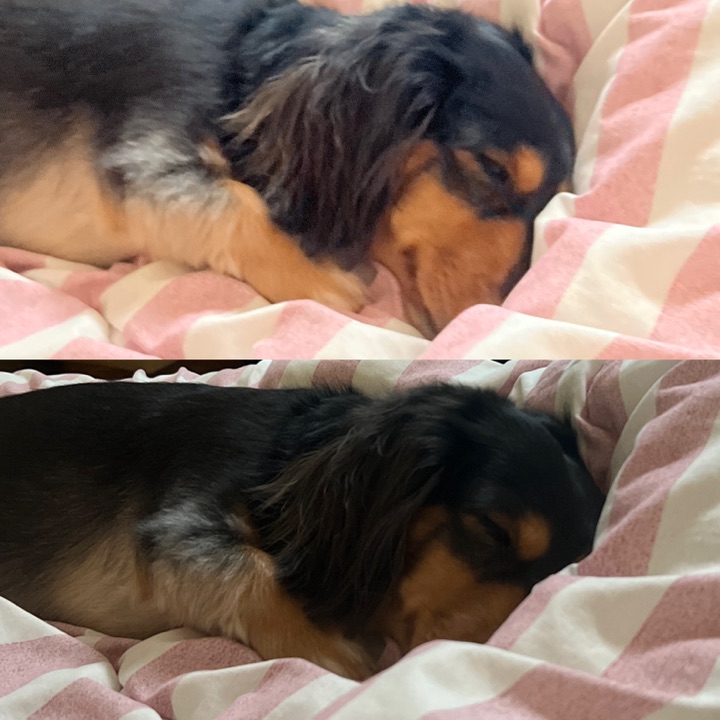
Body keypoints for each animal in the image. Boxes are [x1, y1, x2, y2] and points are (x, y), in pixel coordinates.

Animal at [0, 0, 574, 337]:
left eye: (550, 200)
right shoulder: (147, 156)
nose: (499, 312)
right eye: (492, 169)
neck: (248, 66)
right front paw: (321, 281)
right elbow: (240, 205)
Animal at [0, 380, 603, 679]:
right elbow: (258, 575)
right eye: (492, 530)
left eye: (553, 577)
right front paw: (350, 666)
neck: (289, 454)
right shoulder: (179, 531)